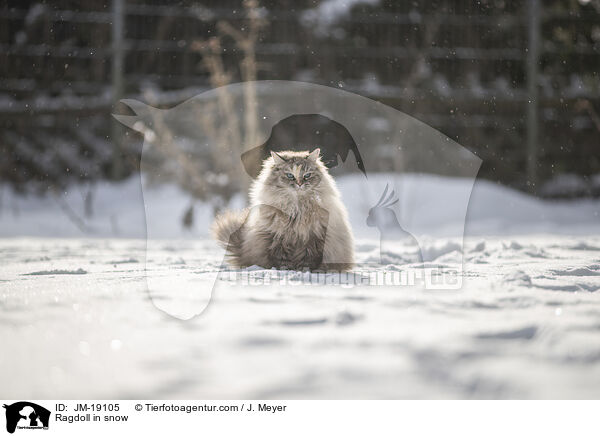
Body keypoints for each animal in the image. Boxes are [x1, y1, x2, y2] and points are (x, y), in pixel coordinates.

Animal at [211, 148, 354, 270]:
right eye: (290, 175)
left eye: (307, 175)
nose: (299, 184)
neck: (297, 208)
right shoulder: (278, 236)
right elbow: (281, 257)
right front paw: (285, 269)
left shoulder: (313, 236)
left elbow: (308, 257)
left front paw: (305, 270)